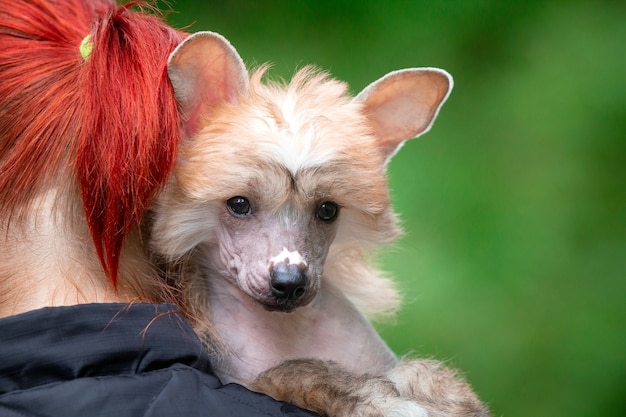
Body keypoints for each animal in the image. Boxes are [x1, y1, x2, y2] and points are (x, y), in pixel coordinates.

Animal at [147, 32, 488, 416]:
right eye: (239, 204)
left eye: (328, 210)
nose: (289, 282)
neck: (292, 328)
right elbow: (295, 374)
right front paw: (373, 399)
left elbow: (424, 379)